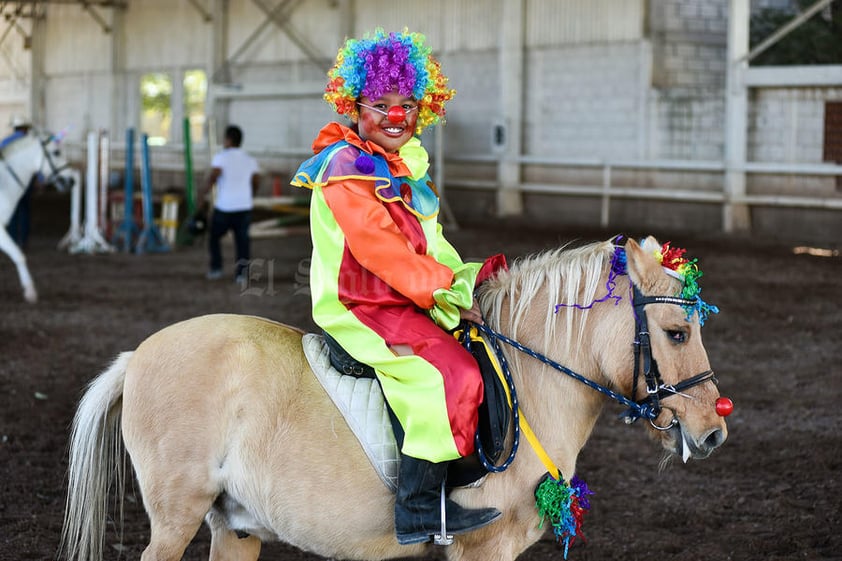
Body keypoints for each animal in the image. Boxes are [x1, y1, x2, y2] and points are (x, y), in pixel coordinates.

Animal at [60, 235, 728, 560]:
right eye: (677, 332)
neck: (529, 382)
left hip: (236, 525)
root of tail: (138, 355)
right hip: (177, 517)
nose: (713, 428)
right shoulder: (483, 548)